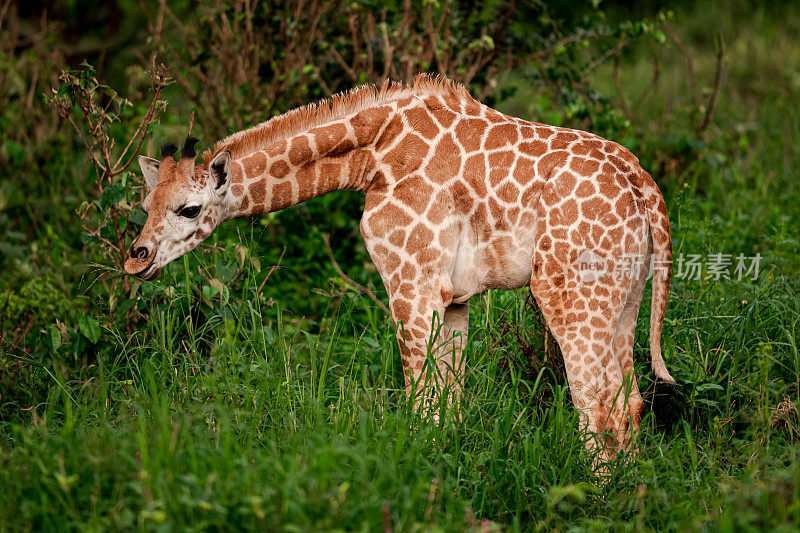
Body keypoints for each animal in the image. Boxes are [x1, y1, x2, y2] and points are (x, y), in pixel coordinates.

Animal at [125, 75, 676, 462]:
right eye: (147, 203)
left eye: (189, 209)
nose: (136, 258)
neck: (371, 154)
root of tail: (644, 185)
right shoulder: (454, 296)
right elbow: (447, 402)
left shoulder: (412, 282)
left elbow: (422, 401)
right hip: (624, 298)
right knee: (630, 402)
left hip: (568, 291)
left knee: (599, 405)